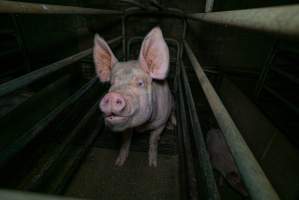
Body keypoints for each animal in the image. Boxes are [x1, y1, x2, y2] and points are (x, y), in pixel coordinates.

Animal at [94, 27, 173, 167]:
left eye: (140, 83)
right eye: (111, 83)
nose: (113, 95)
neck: (142, 127)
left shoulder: (160, 123)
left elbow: (153, 141)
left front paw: (153, 164)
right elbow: (126, 140)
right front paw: (119, 163)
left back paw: (172, 126)